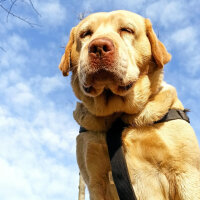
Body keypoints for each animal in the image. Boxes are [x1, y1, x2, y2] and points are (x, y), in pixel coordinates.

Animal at [58, 10, 200, 199]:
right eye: (85, 34)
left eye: (127, 30)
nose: (98, 47)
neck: (119, 115)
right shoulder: (95, 181)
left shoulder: (186, 173)